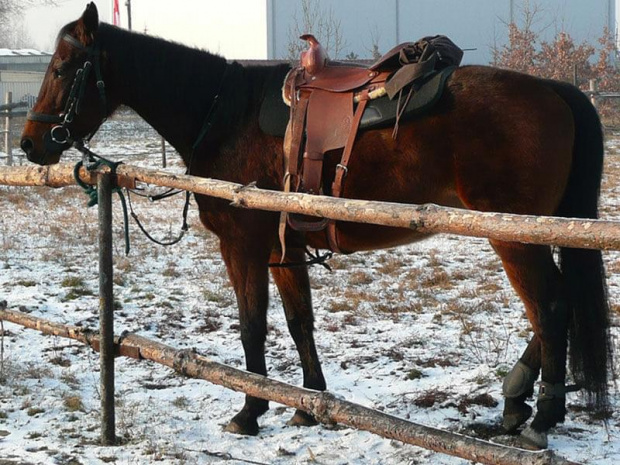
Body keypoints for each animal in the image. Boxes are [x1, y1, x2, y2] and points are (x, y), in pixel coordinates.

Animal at [19, 1, 612, 448]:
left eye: (63, 68)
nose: (29, 143)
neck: (223, 113)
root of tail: (556, 91)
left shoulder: (243, 246)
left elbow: (252, 326)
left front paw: (250, 410)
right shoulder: (283, 250)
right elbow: (299, 321)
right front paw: (307, 403)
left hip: (514, 234)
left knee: (551, 308)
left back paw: (539, 417)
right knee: (560, 305)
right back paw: (516, 403)